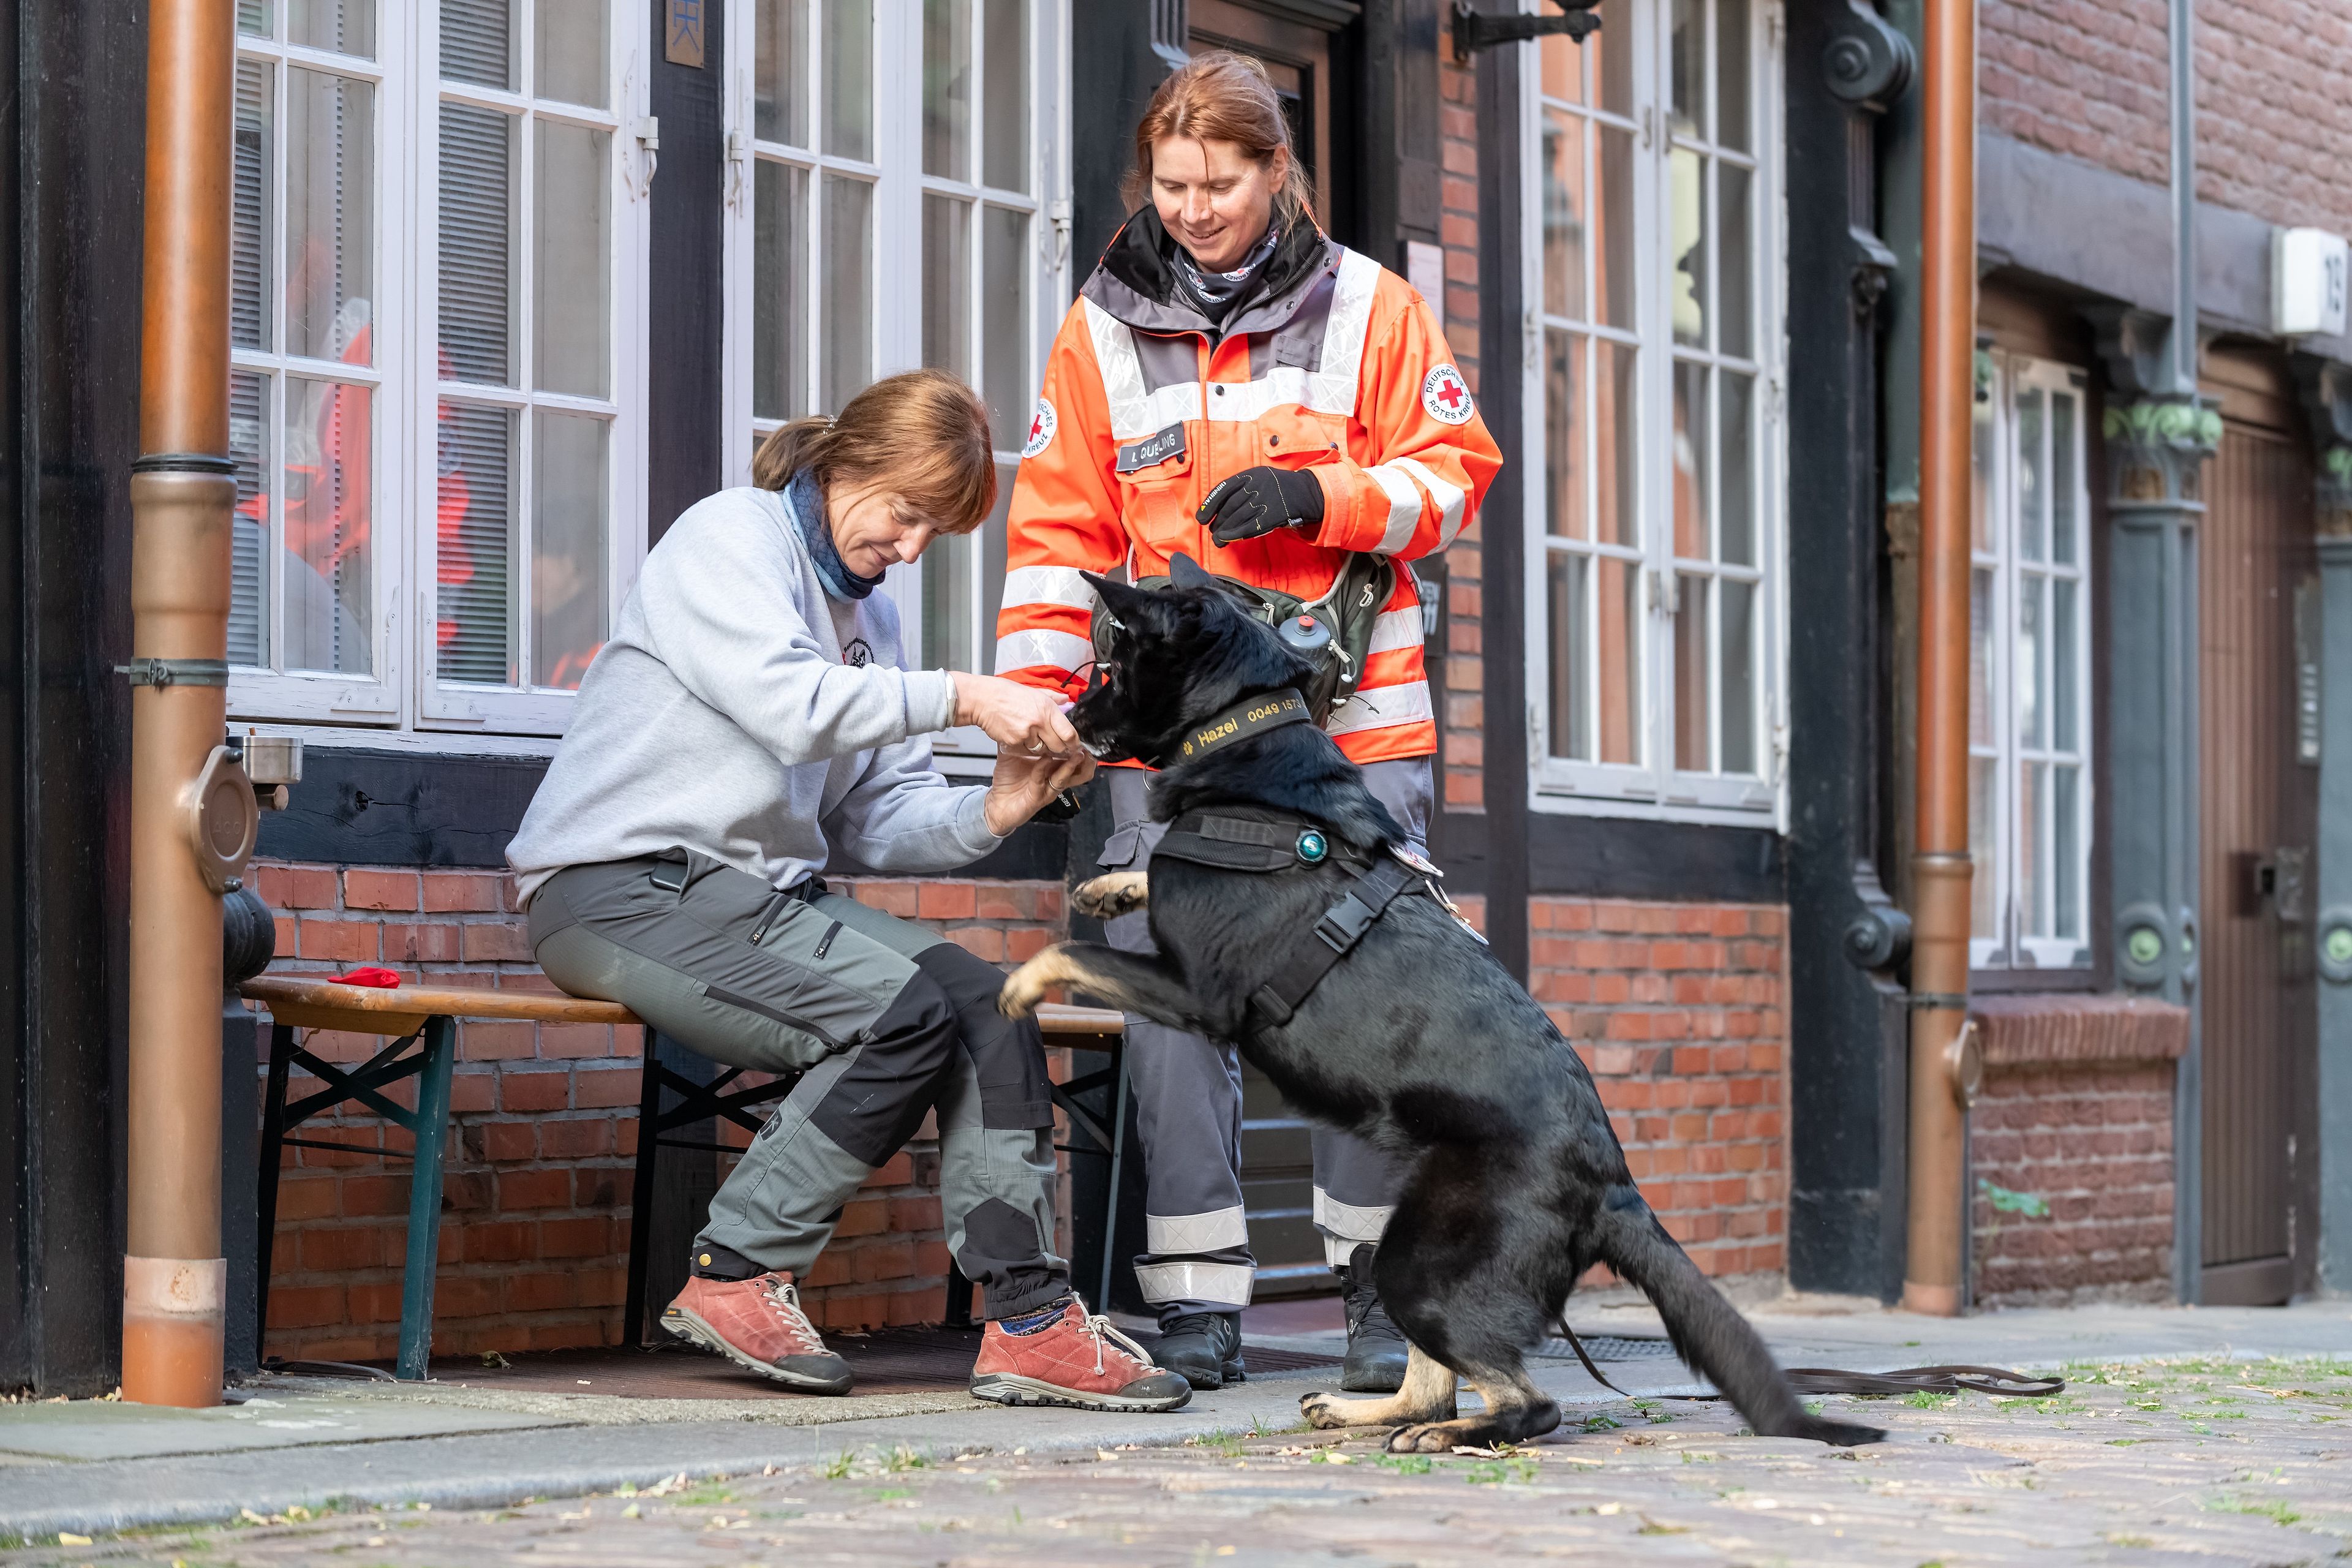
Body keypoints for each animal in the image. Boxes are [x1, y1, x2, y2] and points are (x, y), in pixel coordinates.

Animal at [1001, 571, 1882, 1457]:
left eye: (1111, 668)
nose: (1069, 717)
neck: (1251, 746)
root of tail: (1613, 1182)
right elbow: (1149, 873)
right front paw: (1111, 886)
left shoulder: (1196, 992)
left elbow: (1070, 952)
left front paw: (1017, 983)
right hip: (1410, 1242)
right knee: (1432, 1381)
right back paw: (1368, 1414)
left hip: (1422, 1257)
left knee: (1527, 1402)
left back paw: (1449, 1433)